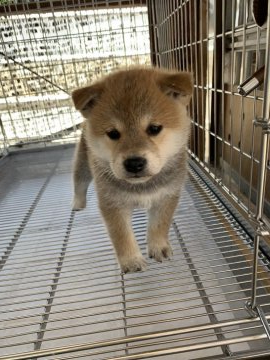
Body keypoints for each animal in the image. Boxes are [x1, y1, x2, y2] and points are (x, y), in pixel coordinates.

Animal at [72, 67, 192, 272]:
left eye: (154, 128)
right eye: (113, 133)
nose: (134, 163)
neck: (141, 186)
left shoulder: (167, 196)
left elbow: (159, 226)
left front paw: (158, 247)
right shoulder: (112, 203)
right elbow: (121, 235)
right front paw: (131, 260)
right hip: (83, 162)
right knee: (78, 183)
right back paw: (77, 204)